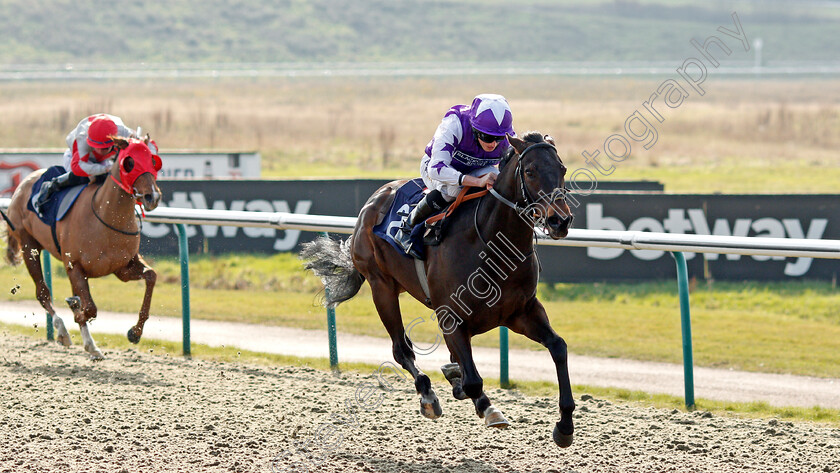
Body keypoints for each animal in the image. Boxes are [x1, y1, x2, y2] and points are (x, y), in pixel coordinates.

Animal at [2, 136, 162, 358]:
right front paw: (75, 310)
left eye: (153, 160)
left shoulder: (122, 267)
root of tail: (23, 183)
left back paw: (91, 345)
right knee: (43, 293)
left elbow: (151, 276)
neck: (105, 217)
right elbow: (90, 308)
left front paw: (135, 332)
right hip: (28, 246)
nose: (151, 197)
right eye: (129, 162)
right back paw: (64, 332)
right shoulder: (75, 267)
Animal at [302, 132, 576, 446]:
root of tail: (373, 200)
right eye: (530, 171)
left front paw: (565, 426)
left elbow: (558, 347)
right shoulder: (450, 317)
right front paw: (486, 407)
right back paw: (427, 394)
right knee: (401, 349)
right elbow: (473, 381)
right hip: (381, 286)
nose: (560, 220)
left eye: (562, 168)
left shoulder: (522, 311)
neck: (491, 243)